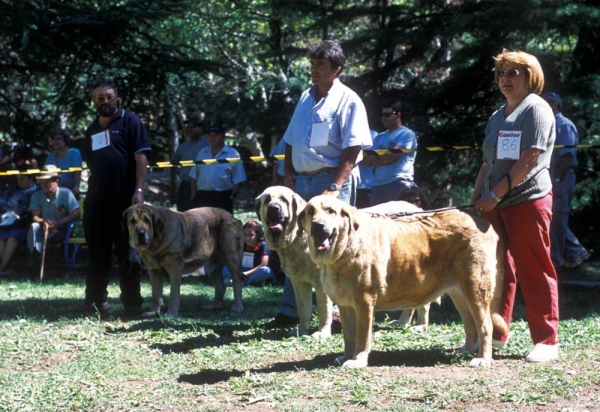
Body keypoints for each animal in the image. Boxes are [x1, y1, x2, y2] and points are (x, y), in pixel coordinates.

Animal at [298, 195, 506, 368]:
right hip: (459, 294)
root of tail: (485, 224)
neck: (342, 252)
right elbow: (348, 337)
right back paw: (465, 350)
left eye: (331, 211)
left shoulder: (364, 303)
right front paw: (346, 357)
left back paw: (483, 359)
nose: (318, 225)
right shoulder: (345, 306)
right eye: (310, 212)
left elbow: (362, 337)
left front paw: (358, 360)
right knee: (470, 324)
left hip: (475, 291)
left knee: (485, 326)